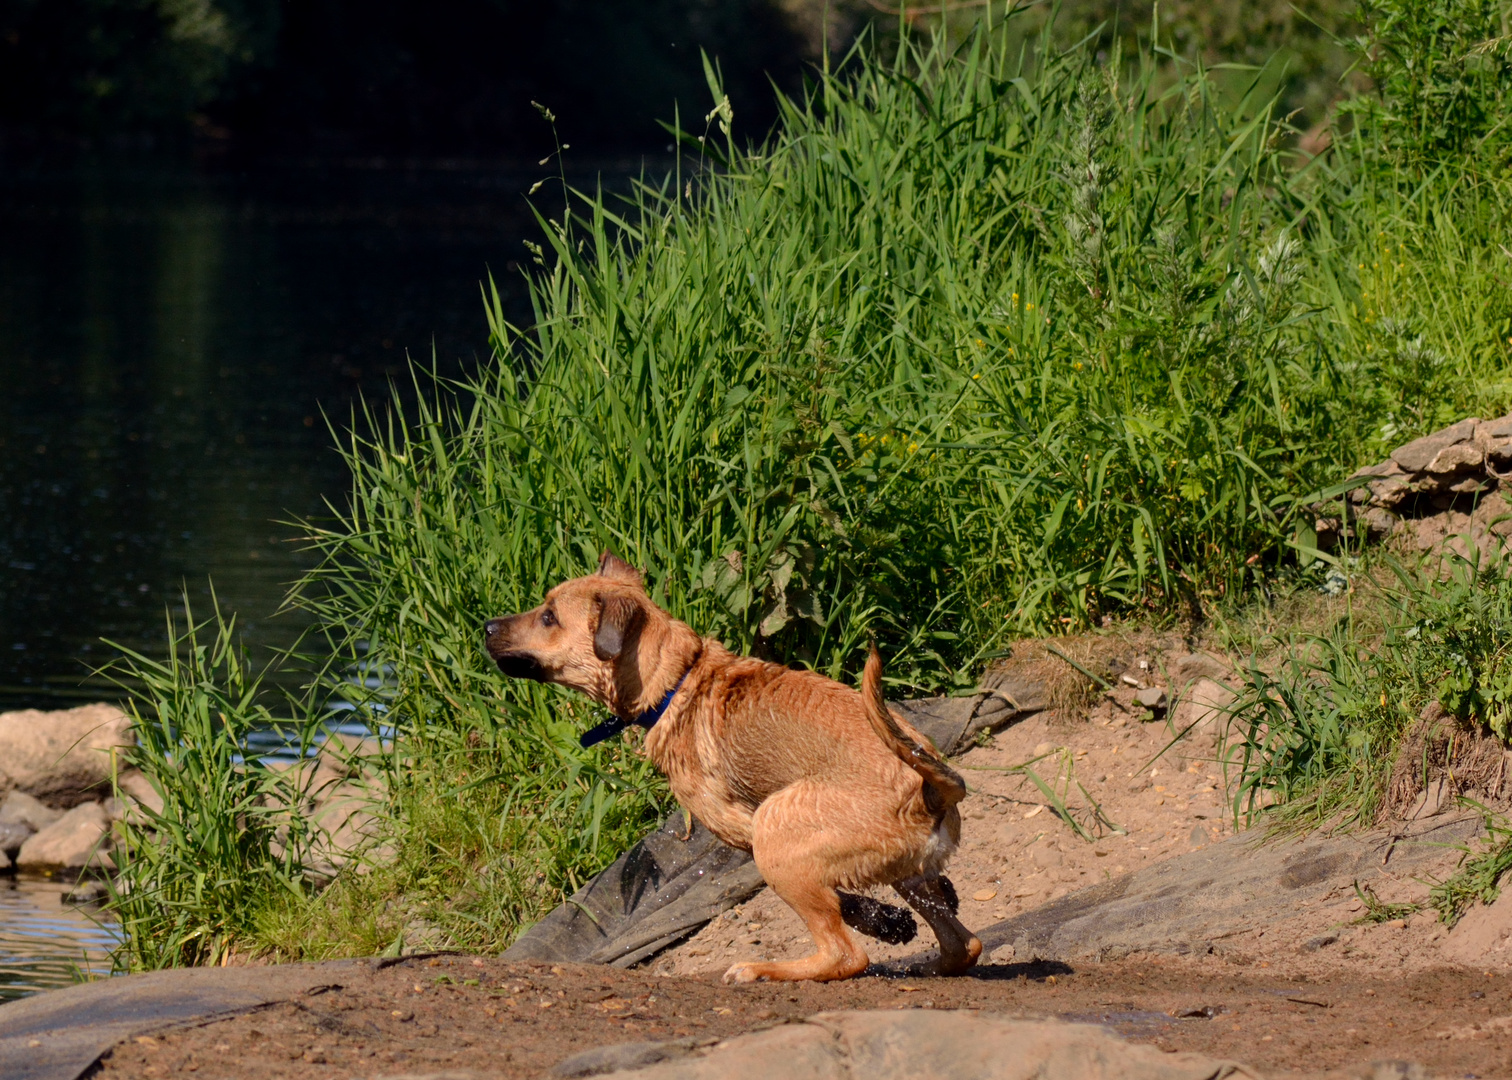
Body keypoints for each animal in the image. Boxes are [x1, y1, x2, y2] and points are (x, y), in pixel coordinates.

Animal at [483, 550, 979, 980]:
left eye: (548, 617)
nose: (486, 626)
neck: (676, 681)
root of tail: (929, 788)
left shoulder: (741, 828)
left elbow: (848, 904)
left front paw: (889, 924)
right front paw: (902, 919)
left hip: (775, 832)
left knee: (845, 955)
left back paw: (763, 970)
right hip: (901, 870)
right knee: (964, 944)